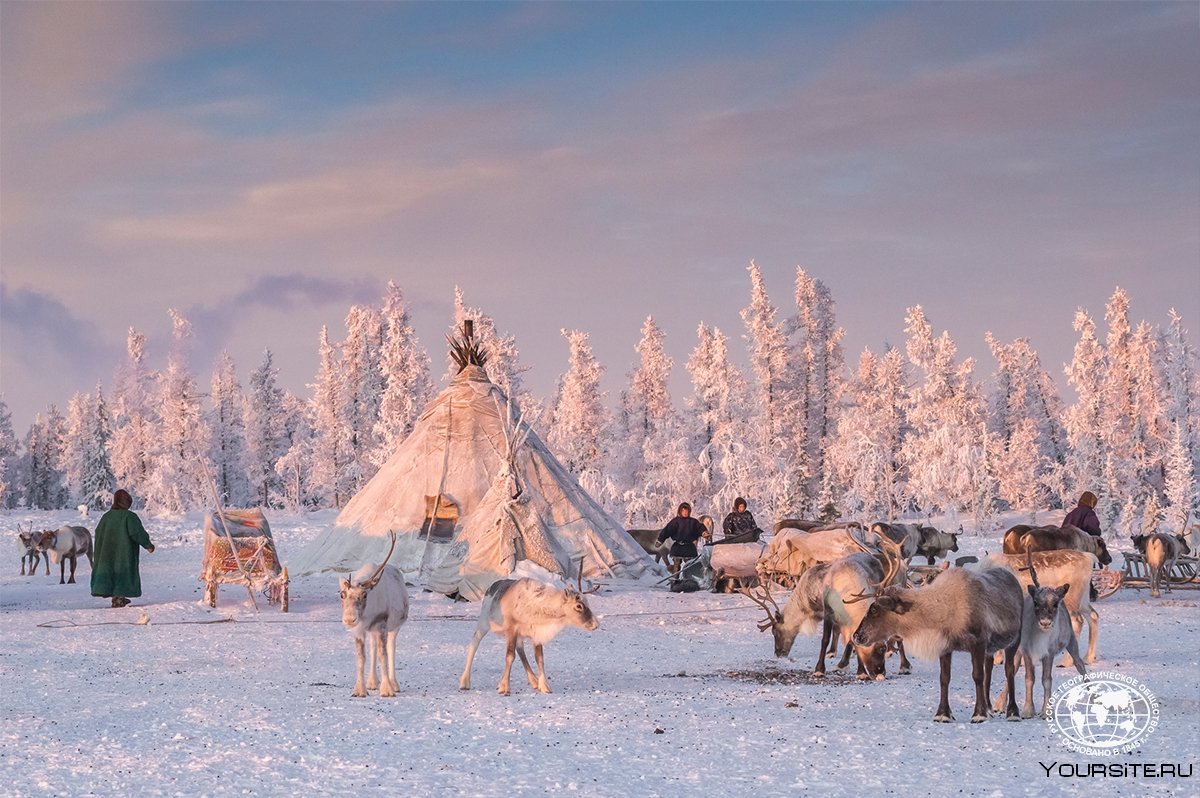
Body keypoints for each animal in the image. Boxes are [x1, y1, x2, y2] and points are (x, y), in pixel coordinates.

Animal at [456, 576, 597, 696]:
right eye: (579, 606)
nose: (596, 624)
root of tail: (491, 586)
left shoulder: (536, 633)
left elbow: (539, 658)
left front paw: (544, 686)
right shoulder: (512, 630)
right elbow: (509, 657)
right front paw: (505, 687)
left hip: (518, 635)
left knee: (520, 649)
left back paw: (533, 681)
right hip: (483, 623)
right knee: (474, 644)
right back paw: (465, 682)